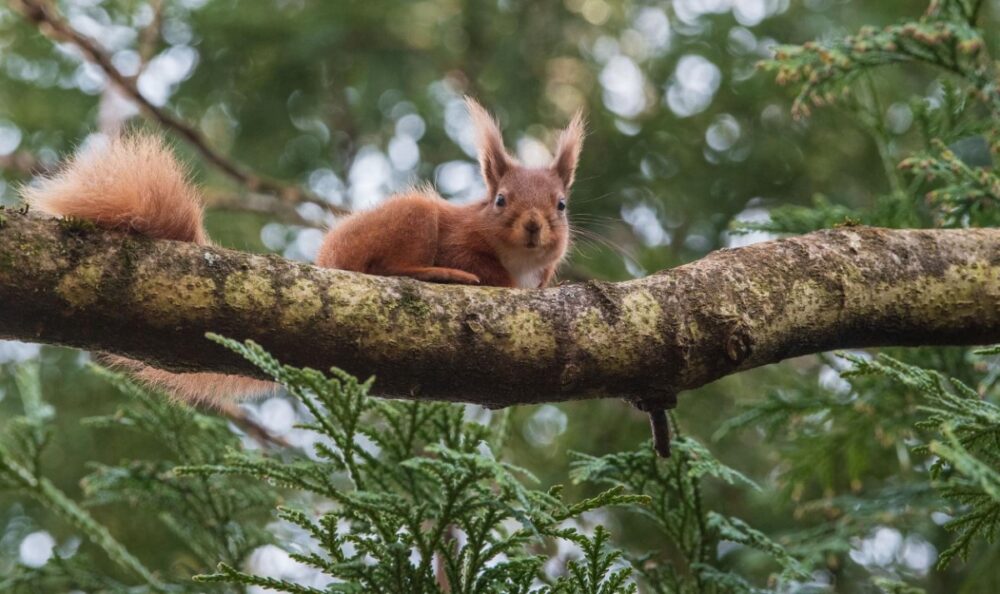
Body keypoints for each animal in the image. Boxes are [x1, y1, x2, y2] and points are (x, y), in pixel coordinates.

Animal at [22, 98, 585, 406]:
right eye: (500, 200)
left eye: (561, 204)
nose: (534, 226)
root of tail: (327, 262)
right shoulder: (462, 236)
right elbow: (480, 262)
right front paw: (493, 277)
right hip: (415, 220)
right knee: (388, 268)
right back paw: (439, 276)